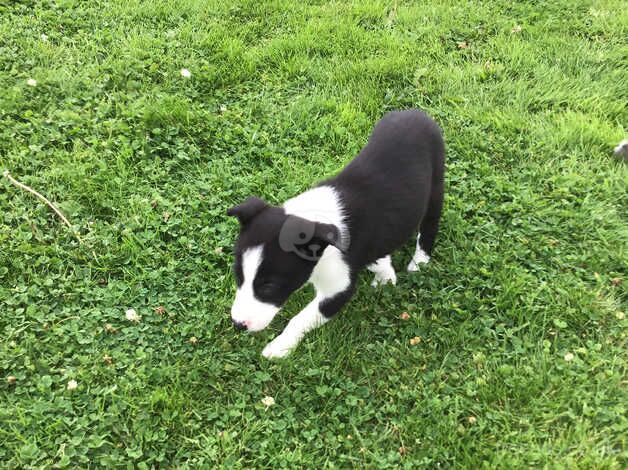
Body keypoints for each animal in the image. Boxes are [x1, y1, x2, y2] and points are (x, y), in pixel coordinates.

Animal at [228, 109, 444, 360]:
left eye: (269, 287)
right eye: (238, 275)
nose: (238, 324)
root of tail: (416, 112)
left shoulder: (338, 288)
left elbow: (300, 319)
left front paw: (279, 346)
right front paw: (385, 275)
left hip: (436, 184)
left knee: (429, 226)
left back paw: (419, 262)